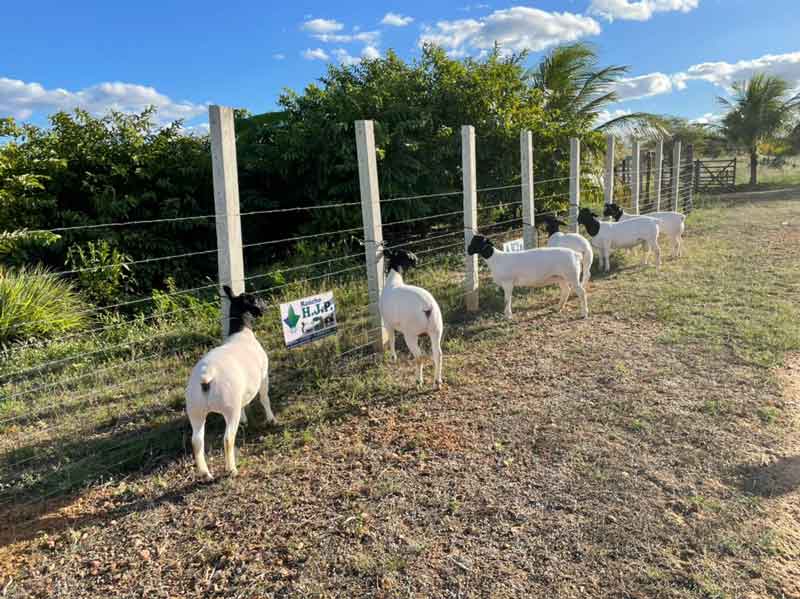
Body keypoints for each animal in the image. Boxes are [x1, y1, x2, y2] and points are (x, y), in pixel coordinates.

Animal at [380, 247, 444, 390]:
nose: (417, 261)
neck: (394, 281)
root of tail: (427, 307)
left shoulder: (388, 323)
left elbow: (391, 340)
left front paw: (393, 357)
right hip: (436, 329)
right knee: (438, 354)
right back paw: (437, 382)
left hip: (411, 333)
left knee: (419, 357)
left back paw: (419, 381)